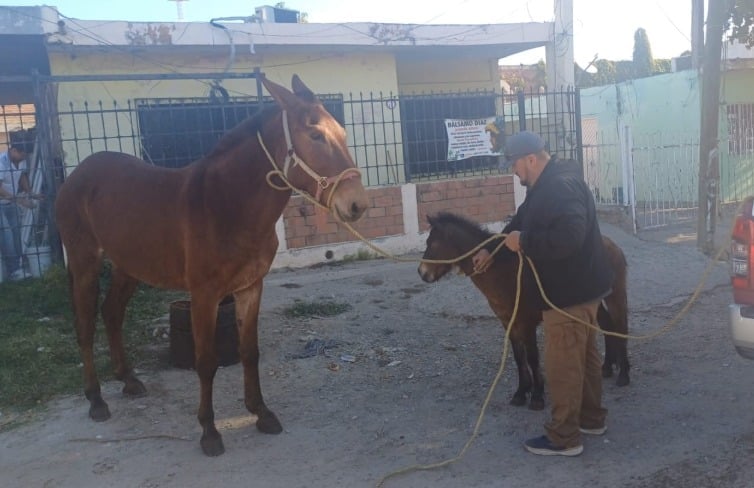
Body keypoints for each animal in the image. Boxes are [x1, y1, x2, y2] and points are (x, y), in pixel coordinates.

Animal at [55, 74, 368, 456]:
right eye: (315, 135)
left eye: (342, 133)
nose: (357, 204)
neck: (227, 204)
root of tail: (77, 174)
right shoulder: (204, 295)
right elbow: (205, 362)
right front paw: (209, 431)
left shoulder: (250, 287)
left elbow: (250, 352)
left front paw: (261, 413)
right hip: (85, 263)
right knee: (85, 327)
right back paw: (96, 400)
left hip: (129, 266)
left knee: (112, 313)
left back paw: (128, 380)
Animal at [418, 212, 628, 410]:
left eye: (433, 243)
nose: (422, 273)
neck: (503, 271)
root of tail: (613, 246)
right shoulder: (508, 322)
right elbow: (519, 356)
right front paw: (521, 392)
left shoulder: (527, 323)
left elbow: (533, 357)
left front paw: (537, 396)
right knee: (608, 325)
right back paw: (607, 368)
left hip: (615, 296)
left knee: (620, 326)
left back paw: (624, 374)